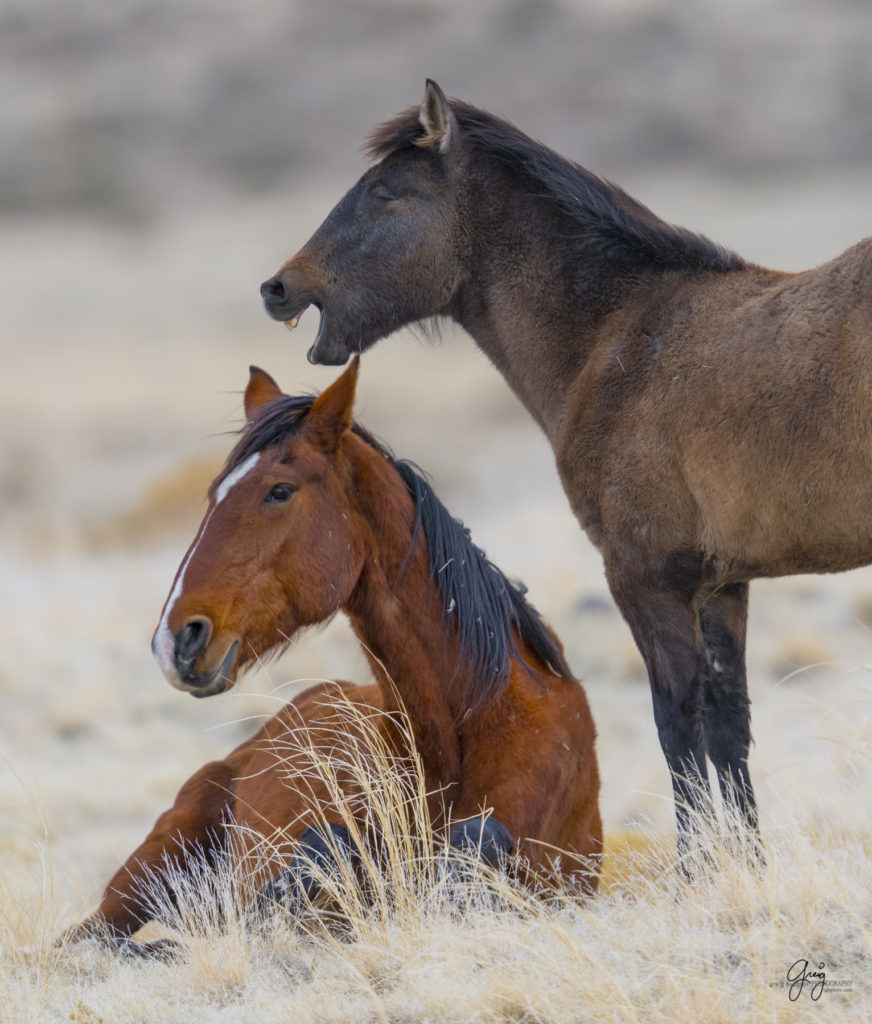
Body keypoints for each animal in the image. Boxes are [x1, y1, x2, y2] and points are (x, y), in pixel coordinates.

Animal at [258, 79, 872, 851]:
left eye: (385, 192)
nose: (278, 287)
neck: (616, 337)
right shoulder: (720, 586)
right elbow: (731, 730)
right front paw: (746, 865)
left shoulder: (645, 580)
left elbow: (679, 727)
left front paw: (698, 867)